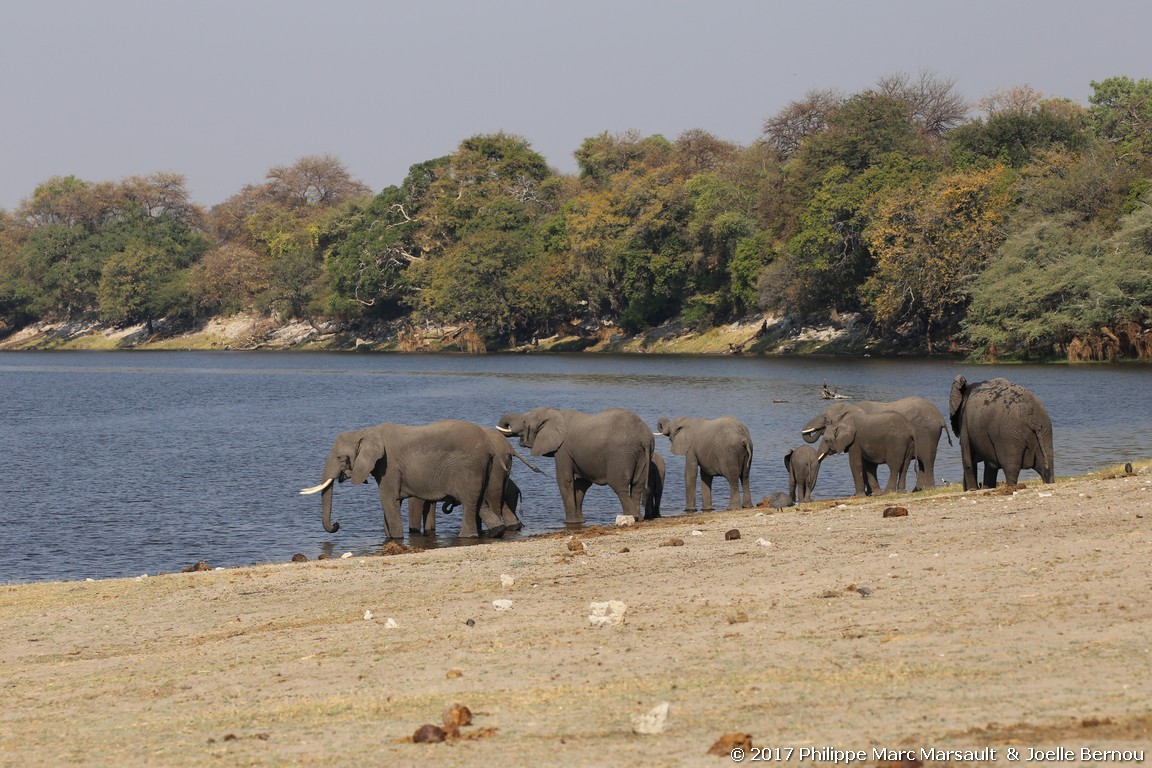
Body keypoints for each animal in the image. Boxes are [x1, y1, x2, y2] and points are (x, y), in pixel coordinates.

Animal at [301, 421, 509, 541]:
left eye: (340, 458)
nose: (337, 525)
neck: (366, 432)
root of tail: (489, 447)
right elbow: (391, 503)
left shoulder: (389, 466)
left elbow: (388, 499)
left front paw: (396, 539)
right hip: (483, 470)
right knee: (479, 502)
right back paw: (496, 532)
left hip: (469, 469)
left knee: (469, 502)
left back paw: (466, 536)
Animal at [497, 407, 658, 522]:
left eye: (525, 422)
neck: (555, 413)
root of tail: (644, 436)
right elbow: (581, 484)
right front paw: (580, 521)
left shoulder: (563, 450)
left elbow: (565, 481)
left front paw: (570, 522)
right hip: (642, 454)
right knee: (637, 485)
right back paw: (638, 517)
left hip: (621, 454)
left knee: (619, 485)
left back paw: (631, 517)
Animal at [801, 396, 953, 492]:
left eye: (826, 419)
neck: (852, 406)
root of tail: (941, 417)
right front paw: (871, 493)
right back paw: (918, 490)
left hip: (927, 434)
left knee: (926, 459)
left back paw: (928, 488)